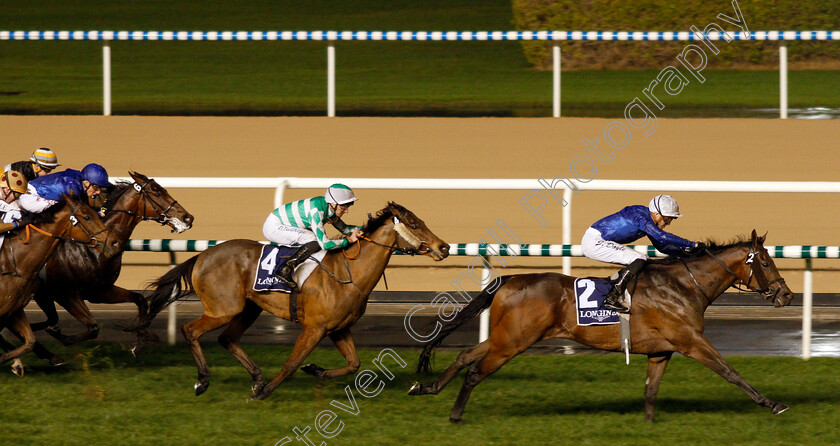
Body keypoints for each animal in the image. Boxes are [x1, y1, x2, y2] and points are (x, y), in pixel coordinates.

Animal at [0, 196, 121, 370]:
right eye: (87, 217)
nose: (114, 243)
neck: (15, 264)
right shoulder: (67, 293)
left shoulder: (14, 309)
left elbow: (30, 341)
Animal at [27, 172, 193, 356]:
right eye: (157, 193)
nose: (188, 218)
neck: (92, 249)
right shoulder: (65, 294)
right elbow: (93, 328)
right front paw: (61, 337)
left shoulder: (100, 291)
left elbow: (140, 299)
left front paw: (140, 343)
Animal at [133, 202, 446, 398]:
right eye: (414, 224)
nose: (443, 247)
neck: (349, 273)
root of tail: (201, 255)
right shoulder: (315, 328)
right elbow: (292, 363)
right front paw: (267, 392)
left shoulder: (339, 328)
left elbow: (354, 363)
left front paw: (316, 370)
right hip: (223, 309)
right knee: (190, 330)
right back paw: (203, 380)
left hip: (248, 309)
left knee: (227, 339)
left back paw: (256, 378)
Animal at [412, 232, 796, 424]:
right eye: (765, 262)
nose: (787, 295)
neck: (684, 286)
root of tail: (508, 280)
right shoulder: (691, 340)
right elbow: (731, 372)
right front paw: (772, 403)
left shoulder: (661, 350)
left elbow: (651, 390)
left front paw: (649, 423)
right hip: (514, 341)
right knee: (476, 371)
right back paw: (455, 415)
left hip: (505, 336)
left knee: (465, 354)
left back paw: (427, 387)